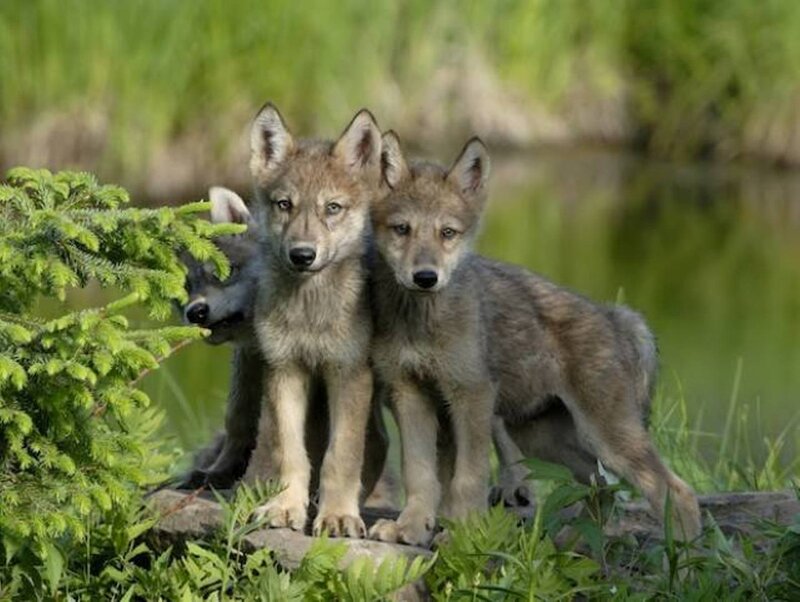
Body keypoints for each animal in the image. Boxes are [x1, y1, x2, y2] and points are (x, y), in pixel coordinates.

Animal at [176, 187, 392, 507]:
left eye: (224, 272)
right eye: (184, 289)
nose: (196, 312)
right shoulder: (252, 361)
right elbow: (239, 420)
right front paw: (219, 472)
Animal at [244, 103, 382, 538]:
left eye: (332, 208)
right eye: (284, 204)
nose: (302, 255)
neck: (310, 312)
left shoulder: (349, 374)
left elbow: (342, 456)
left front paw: (338, 516)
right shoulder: (285, 370)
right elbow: (290, 452)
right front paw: (285, 508)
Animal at [367, 132, 701, 546]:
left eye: (447, 233)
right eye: (402, 229)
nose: (425, 277)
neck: (422, 318)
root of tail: (617, 317)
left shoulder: (471, 397)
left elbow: (468, 480)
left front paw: (462, 536)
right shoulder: (410, 395)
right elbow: (419, 475)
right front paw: (409, 529)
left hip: (608, 438)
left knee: (676, 492)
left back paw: (682, 557)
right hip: (540, 437)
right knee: (601, 488)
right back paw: (573, 544)